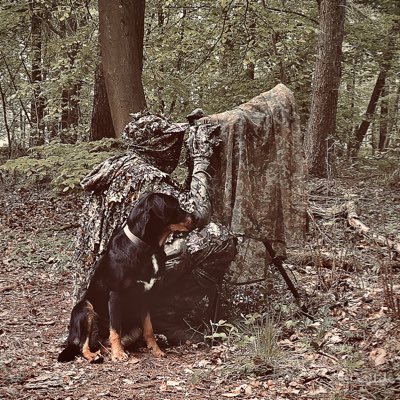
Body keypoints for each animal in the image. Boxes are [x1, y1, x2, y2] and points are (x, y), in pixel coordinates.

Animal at [57, 192, 198, 364]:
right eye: (176, 207)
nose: (197, 217)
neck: (147, 248)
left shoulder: (145, 296)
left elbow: (149, 329)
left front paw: (156, 350)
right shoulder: (115, 295)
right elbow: (115, 330)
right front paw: (118, 354)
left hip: (132, 328)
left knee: (103, 345)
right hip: (86, 308)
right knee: (82, 344)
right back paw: (93, 355)